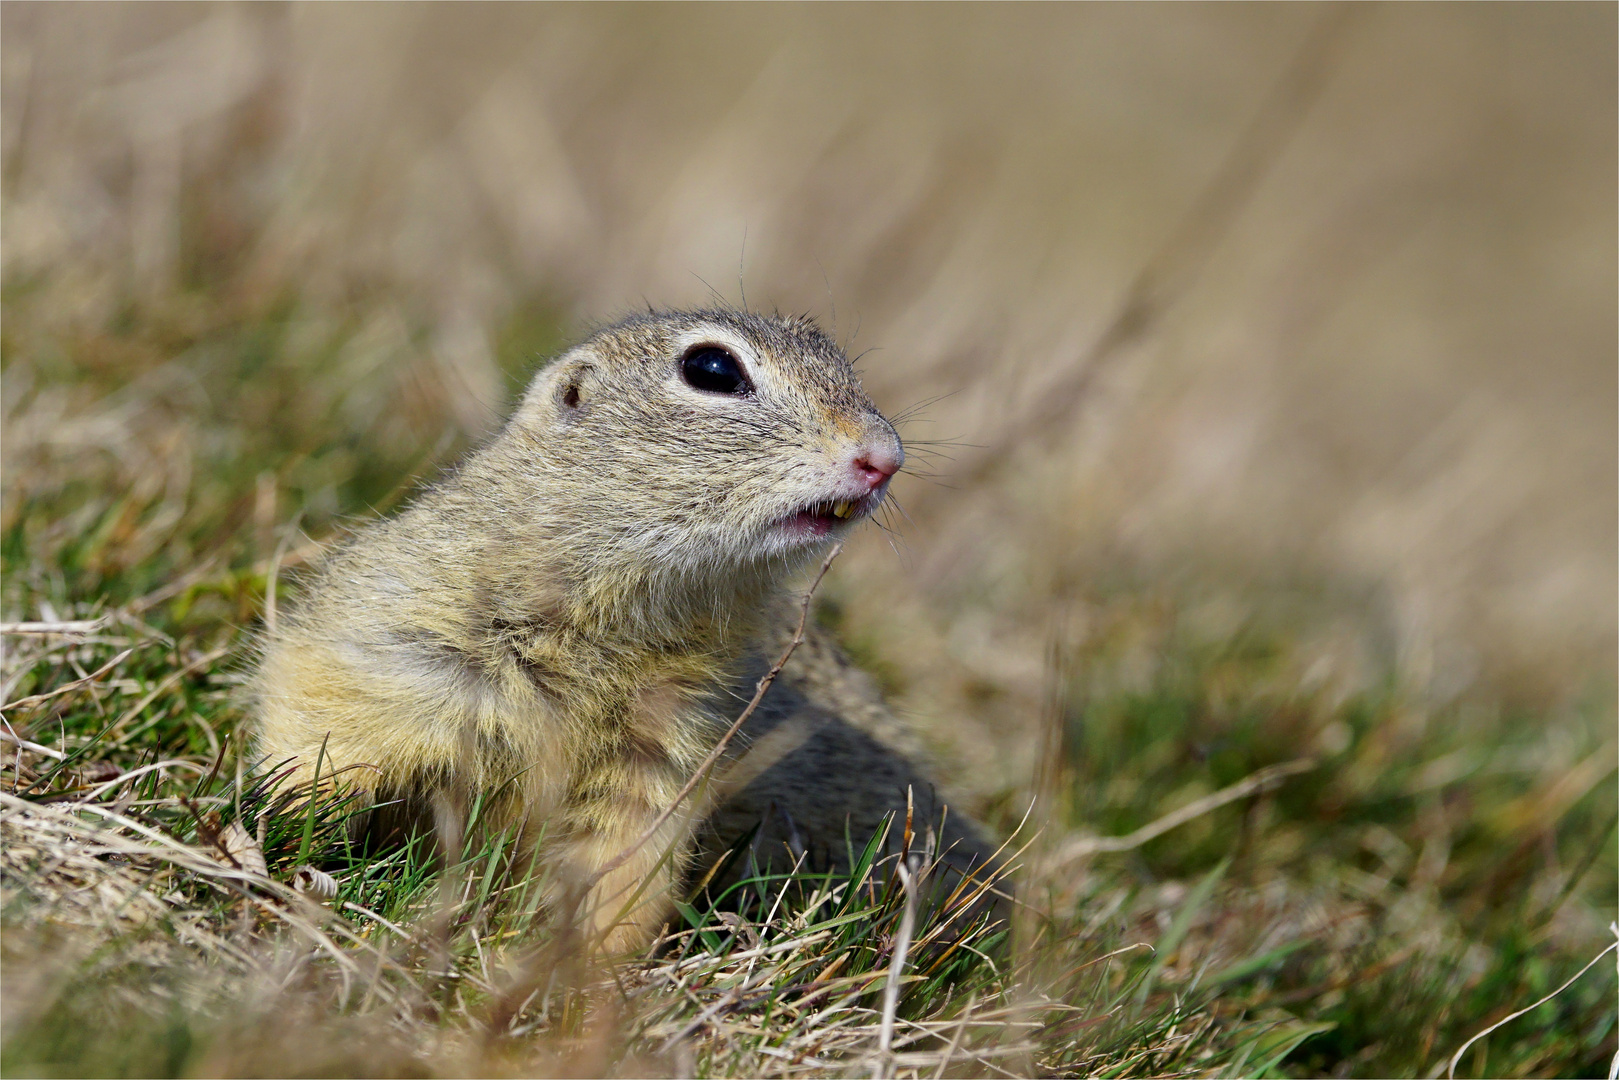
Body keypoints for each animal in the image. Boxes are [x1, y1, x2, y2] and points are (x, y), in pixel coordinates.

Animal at [252, 307, 997, 952]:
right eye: (712, 368)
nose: (885, 456)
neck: (617, 615)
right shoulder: (384, 646)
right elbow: (320, 735)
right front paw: (284, 825)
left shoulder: (664, 753)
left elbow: (622, 866)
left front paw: (583, 970)